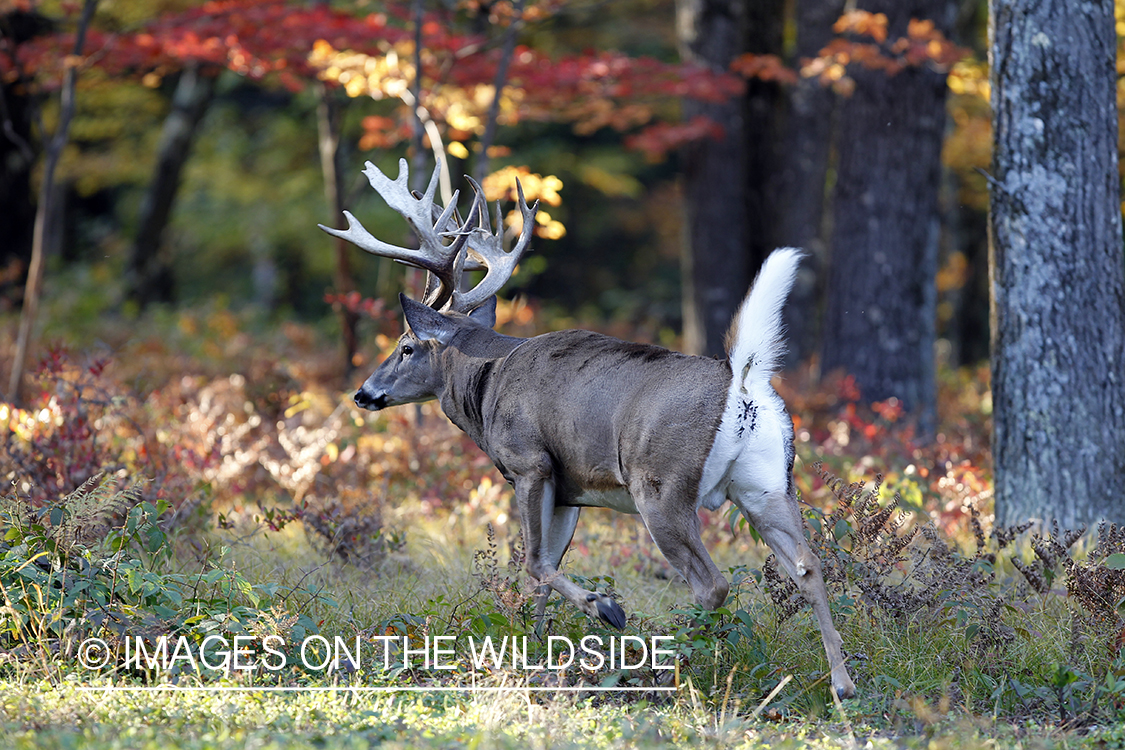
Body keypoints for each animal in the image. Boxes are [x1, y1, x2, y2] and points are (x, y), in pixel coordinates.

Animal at [321, 159, 855, 697]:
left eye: (406, 346)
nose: (363, 393)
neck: (487, 386)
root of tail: (744, 384)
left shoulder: (530, 463)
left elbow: (535, 562)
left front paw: (605, 608)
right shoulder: (570, 488)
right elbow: (541, 573)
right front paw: (534, 648)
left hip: (660, 485)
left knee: (713, 583)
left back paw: (667, 664)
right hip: (767, 485)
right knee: (809, 566)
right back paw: (842, 684)